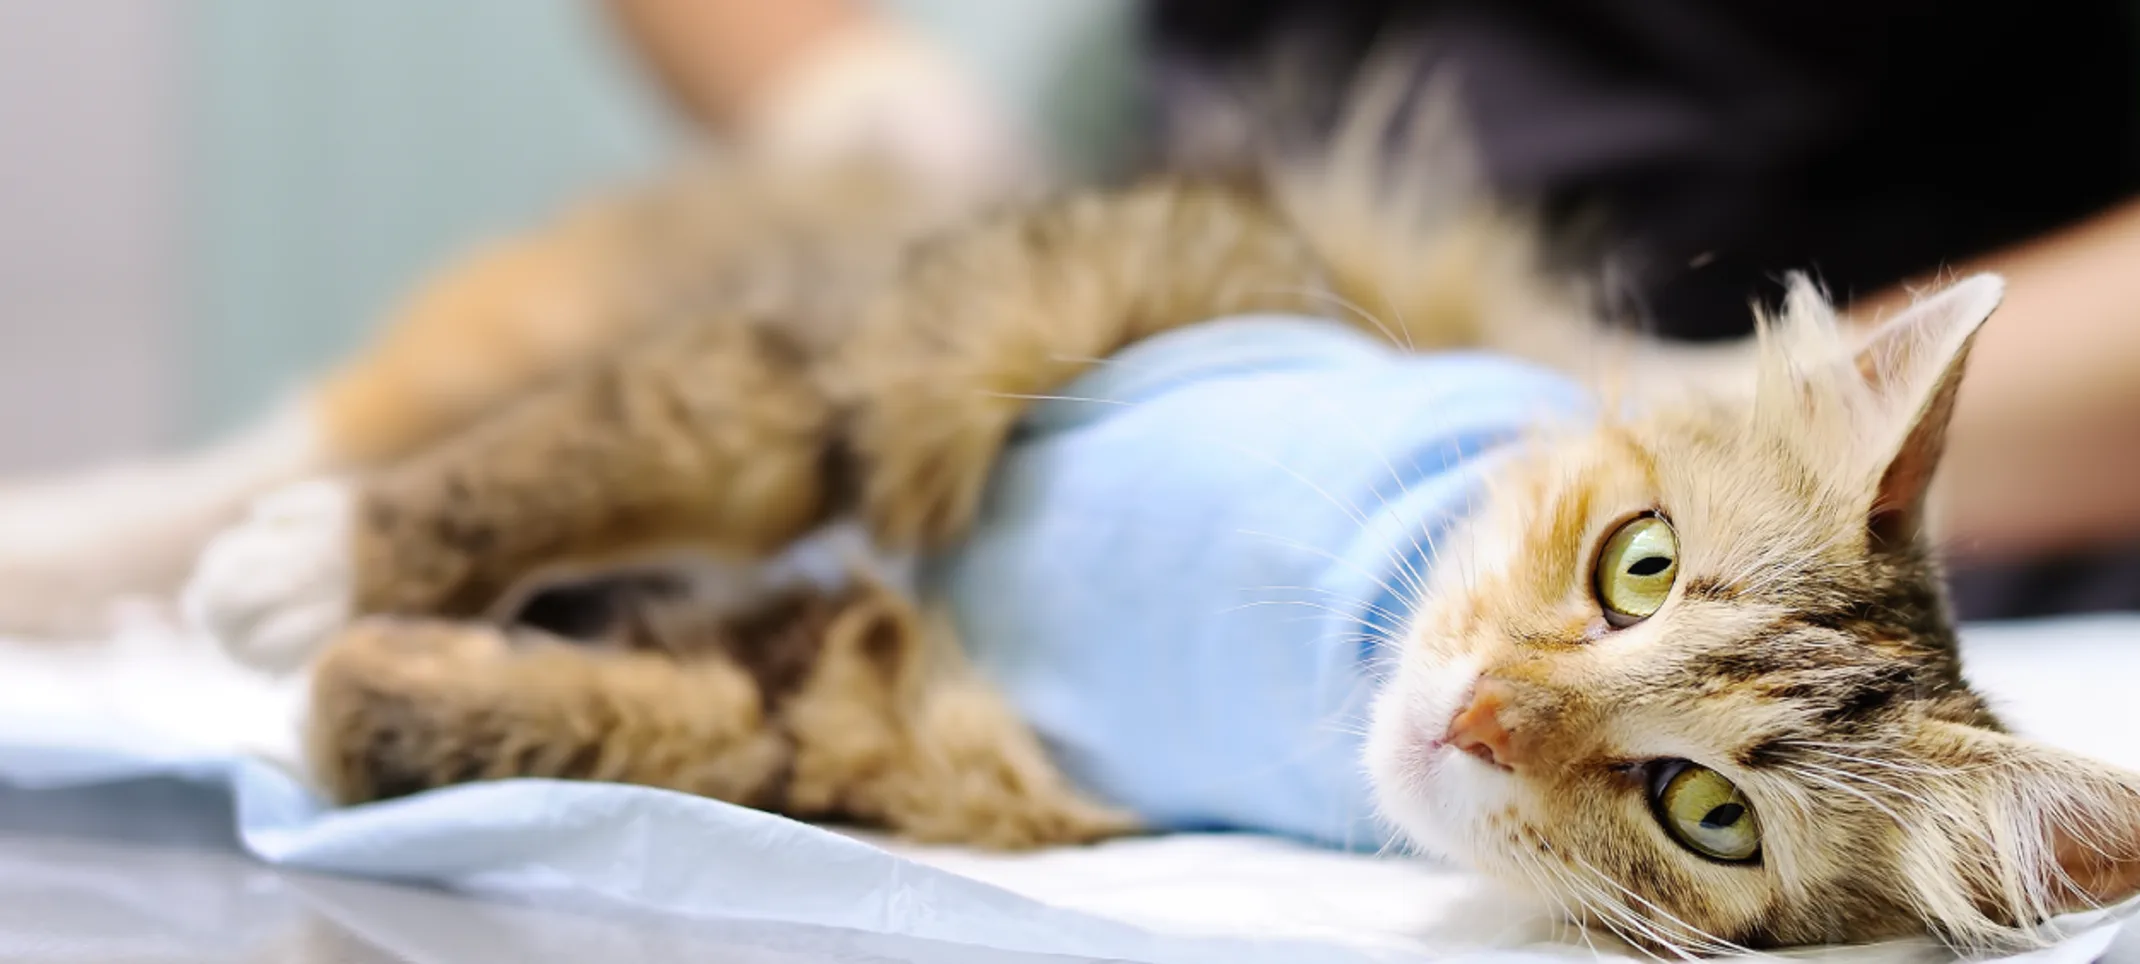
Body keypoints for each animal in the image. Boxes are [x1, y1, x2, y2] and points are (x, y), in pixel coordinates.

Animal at [4, 77, 2140, 955]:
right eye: (1640, 565)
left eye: (1707, 809)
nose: (1475, 718)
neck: (1326, 619)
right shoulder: (946, 347)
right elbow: (619, 450)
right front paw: (318, 575)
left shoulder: (898, 725)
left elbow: (607, 719)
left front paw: (366, 683)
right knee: (312, 431)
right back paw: (129, 549)